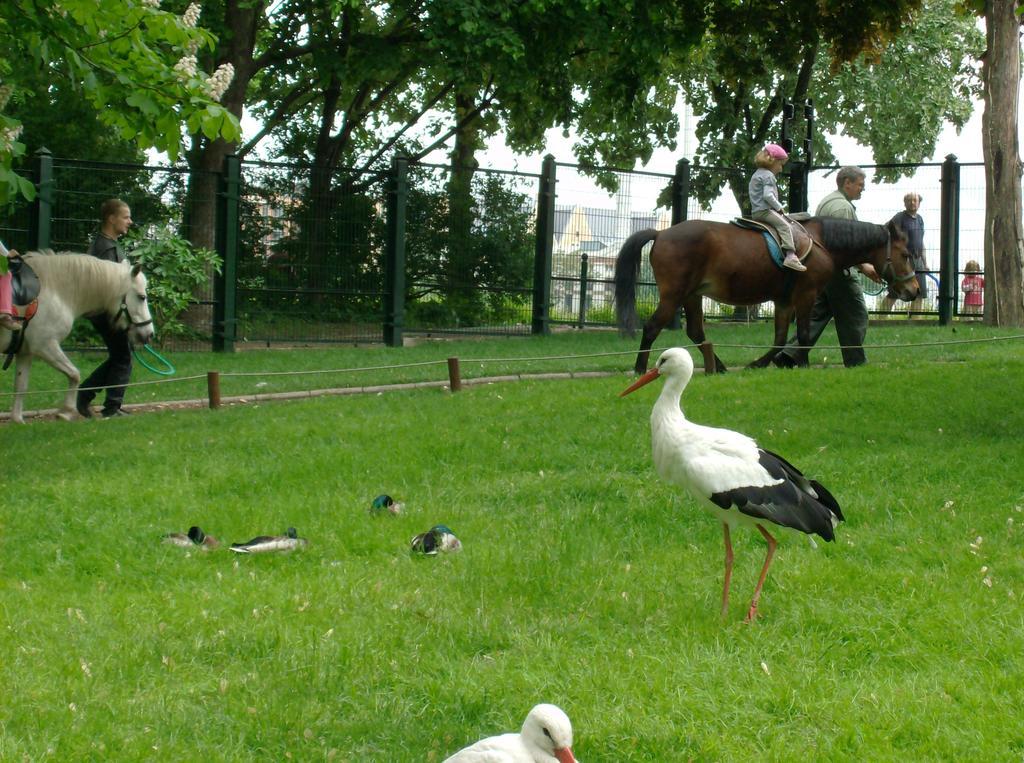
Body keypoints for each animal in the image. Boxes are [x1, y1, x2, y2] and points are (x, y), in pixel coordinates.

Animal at [3, 253, 154, 421]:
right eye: (142, 297)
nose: (150, 333)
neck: (54, 291)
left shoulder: (25, 352)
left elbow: (20, 386)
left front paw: (17, 420)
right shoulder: (45, 346)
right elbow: (74, 374)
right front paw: (67, 411)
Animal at [614, 216, 921, 372]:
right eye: (906, 254)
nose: (915, 289)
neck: (821, 241)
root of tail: (661, 233)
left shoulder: (784, 301)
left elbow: (780, 339)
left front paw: (760, 363)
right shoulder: (805, 294)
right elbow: (805, 335)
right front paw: (802, 365)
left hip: (692, 295)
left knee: (696, 333)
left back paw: (718, 366)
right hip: (674, 295)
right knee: (652, 327)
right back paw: (640, 368)